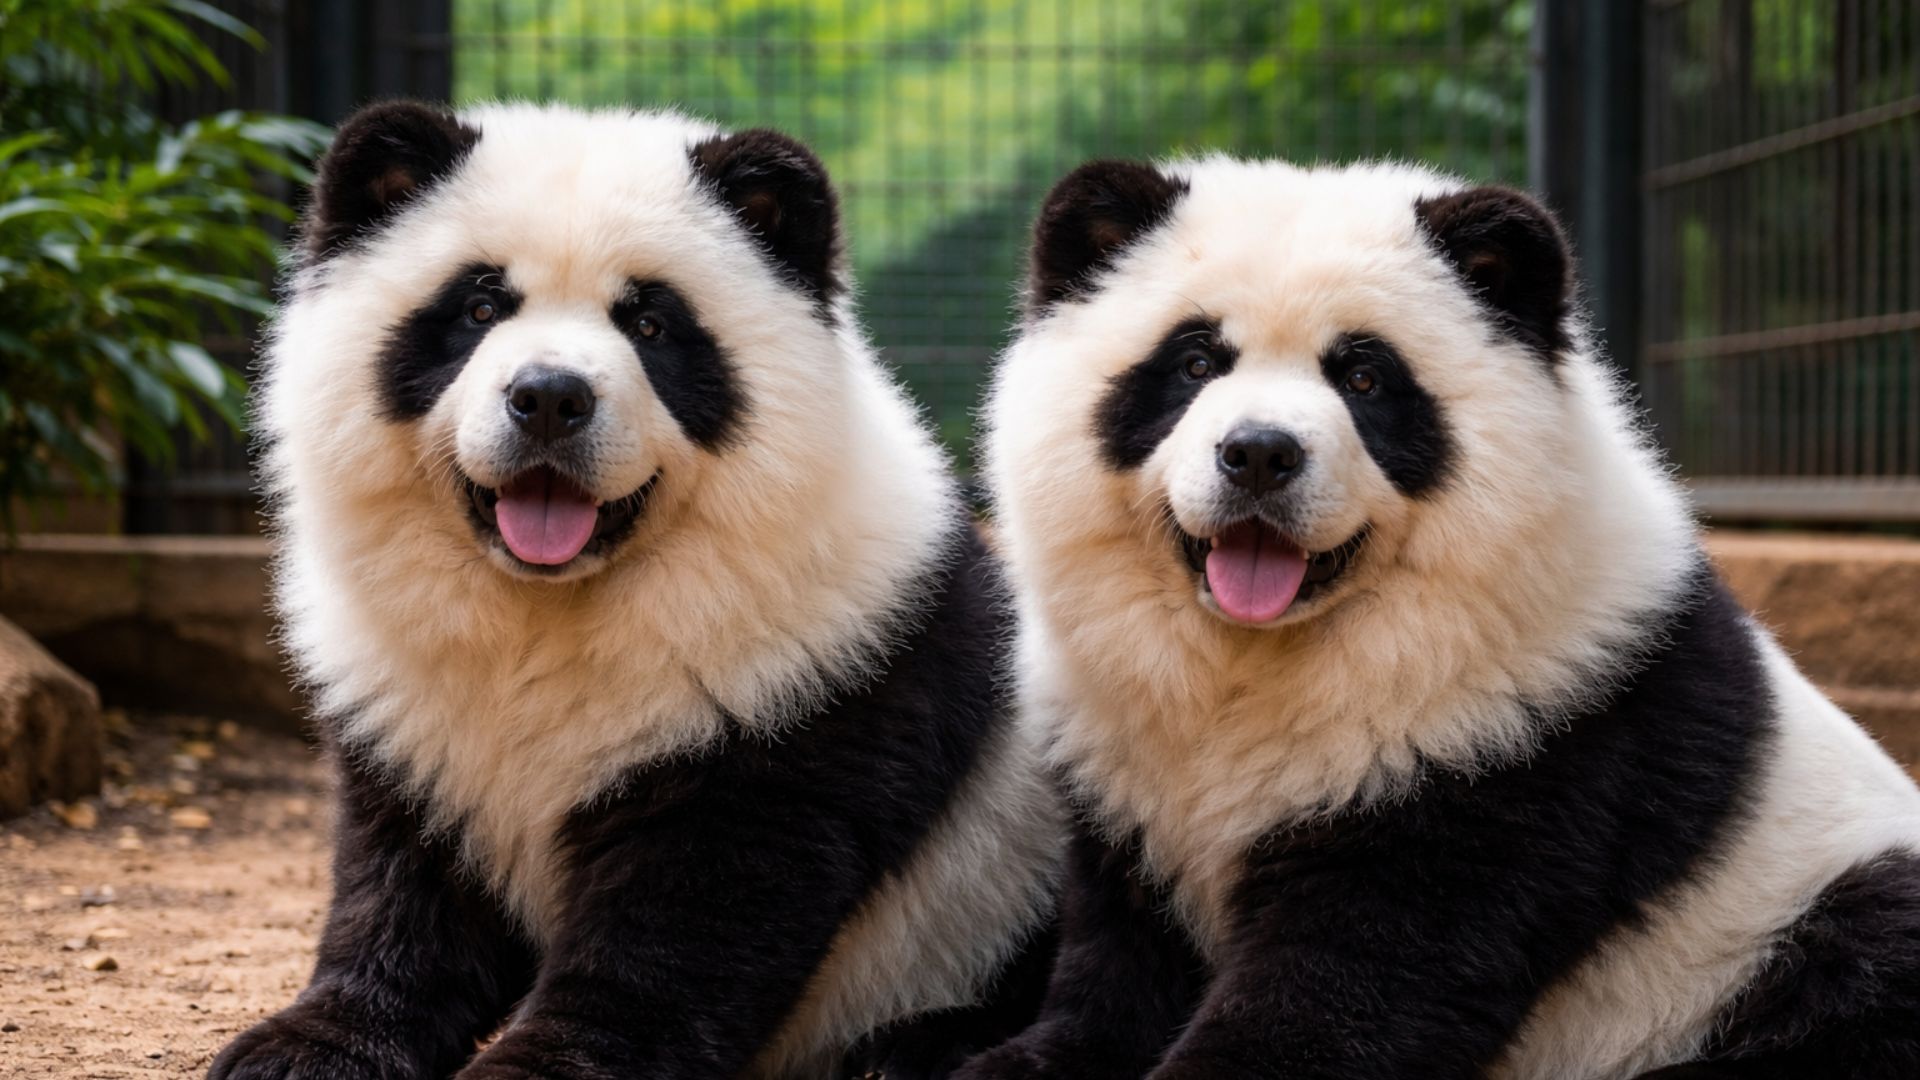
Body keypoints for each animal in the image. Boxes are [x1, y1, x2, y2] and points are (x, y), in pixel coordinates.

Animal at [211, 101, 1062, 1080]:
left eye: (651, 324)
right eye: (478, 307)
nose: (549, 398)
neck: (550, 602)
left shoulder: (798, 671)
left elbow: (687, 917)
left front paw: (542, 1067)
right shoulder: (407, 702)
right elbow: (402, 885)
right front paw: (309, 1045)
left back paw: (917, 1044)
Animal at [959, 155, 1920, 1080]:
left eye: (1364, 377)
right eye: (1195, 363)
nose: (1260, 454)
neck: (1265, 652)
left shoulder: (1523, 734)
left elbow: (1357, 985)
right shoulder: (1123, 766)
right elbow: (1119, 966)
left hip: (1782, 915)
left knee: (1864, 964)